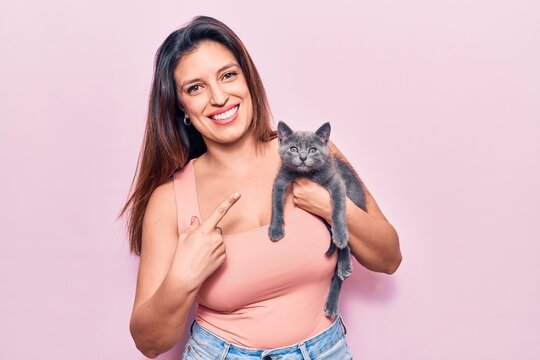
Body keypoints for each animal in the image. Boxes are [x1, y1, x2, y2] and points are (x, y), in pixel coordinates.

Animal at [268, 121, 368, 318]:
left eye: (313, 149)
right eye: (293, 148)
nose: (303, 157)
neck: (306, 174)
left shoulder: (336, 183)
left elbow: (338, 210)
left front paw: (340, 234)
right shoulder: (281, 180)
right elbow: (276, 204)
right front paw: (275, 229)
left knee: (343, 254)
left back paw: (343, 265)